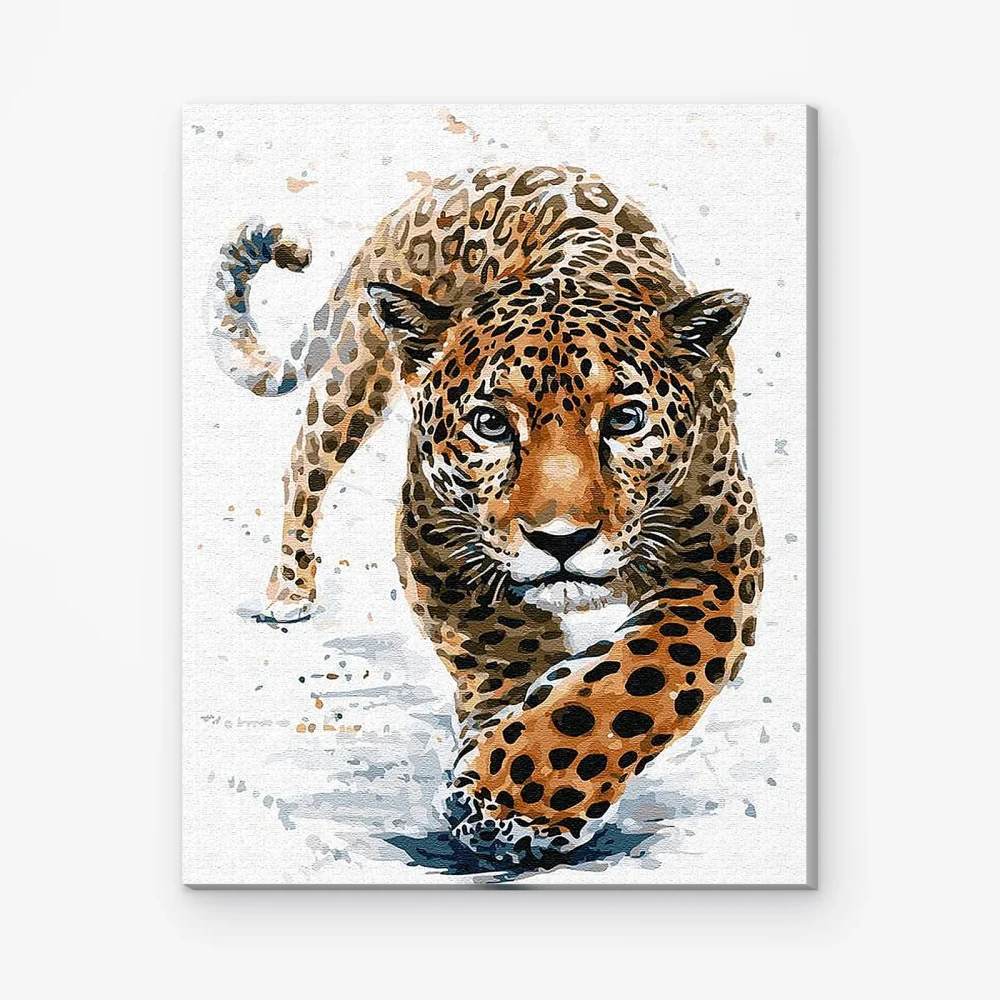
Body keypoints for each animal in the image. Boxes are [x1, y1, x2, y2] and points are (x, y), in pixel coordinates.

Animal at [208, 164, 764, 866]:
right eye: (491, 424)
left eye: (625, 420)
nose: (562, 540)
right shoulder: (438, 545)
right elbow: (509, 650)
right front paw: (503, 782)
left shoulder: (719, 562)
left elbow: (638, 677)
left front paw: (514, 796)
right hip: (353, 378)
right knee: (303, 467)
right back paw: (289, 589)